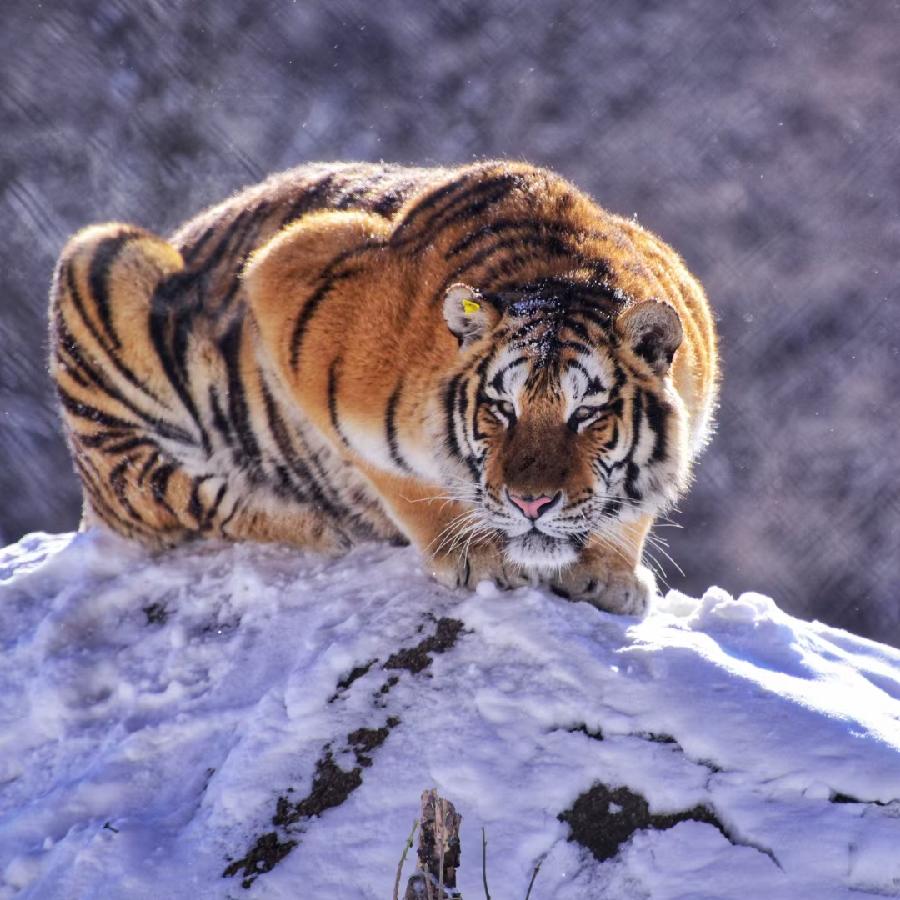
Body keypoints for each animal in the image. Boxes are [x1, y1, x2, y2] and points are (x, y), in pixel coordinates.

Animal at [48, 161, 718, 614]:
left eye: (586, 415)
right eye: (501, 409)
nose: (531, 504)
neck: (565, 272)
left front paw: (610, 572)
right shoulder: (284, 274)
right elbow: (400, 477)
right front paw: (477, 555)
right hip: (99, 261)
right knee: (178, 494)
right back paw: (317, 524)